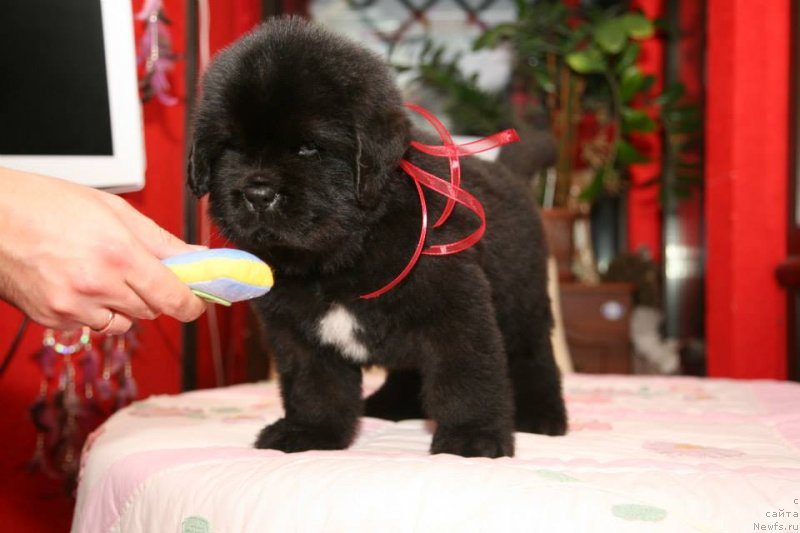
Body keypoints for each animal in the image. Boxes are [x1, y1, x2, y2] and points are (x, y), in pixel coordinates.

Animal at [190, 17, 568, 458]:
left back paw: (542, 416)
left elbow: (467, 376)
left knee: (533, 356)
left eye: (309, 148)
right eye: (230, 146)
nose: (258, 194)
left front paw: (473, 437)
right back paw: (393, 405)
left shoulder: (456, 309)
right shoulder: (297, 331)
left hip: (523, 302)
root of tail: (510, 174)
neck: (338, 256)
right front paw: (310, 431)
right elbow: (314, 386)